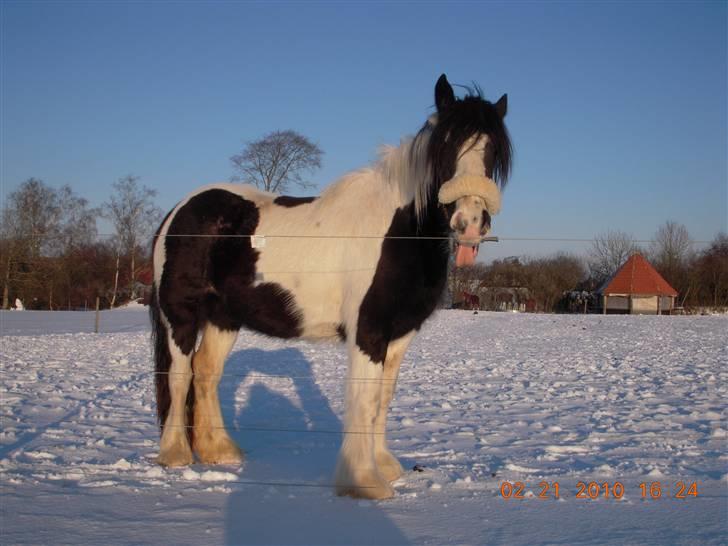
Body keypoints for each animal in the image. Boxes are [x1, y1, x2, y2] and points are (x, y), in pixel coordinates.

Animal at [149, 75, 512, 498]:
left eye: (493, 151)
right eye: (447, 145)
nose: (470, 220)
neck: (399, 232)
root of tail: (178, 211)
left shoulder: (399, 335)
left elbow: (382, 399)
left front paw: (385, 466)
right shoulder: (367, 332)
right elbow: (364, 398)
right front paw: (365, 480)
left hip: (223, 317)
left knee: (206, 371)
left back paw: (218, 451)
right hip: (181, 316)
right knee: (179, 375)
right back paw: (176, 454)